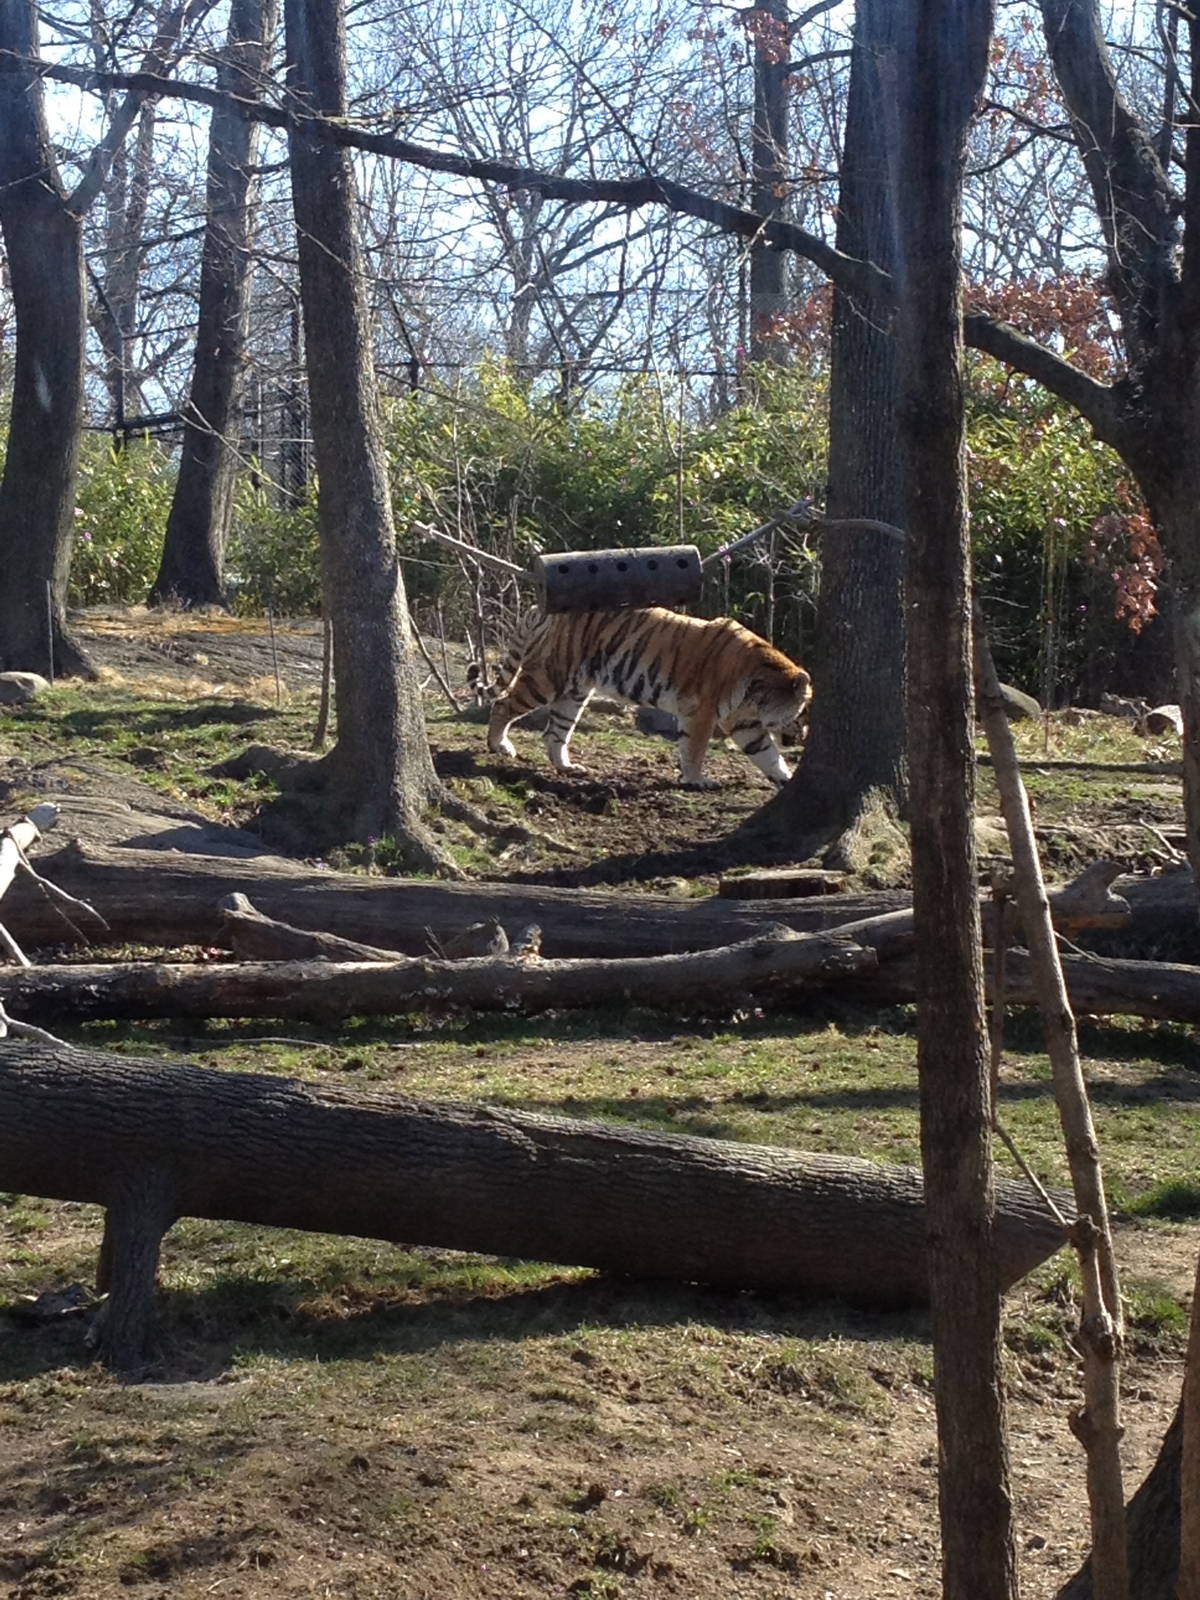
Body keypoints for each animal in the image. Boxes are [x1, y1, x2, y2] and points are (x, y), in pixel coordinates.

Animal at [468, 606, 812, 788]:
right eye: (804, 715)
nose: (807, 737)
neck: (758, 694)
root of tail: (538, 609)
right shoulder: (702, 714)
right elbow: (695, 750)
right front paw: (696, 781)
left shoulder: (745, 723)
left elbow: (766, 753)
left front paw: (786, 778)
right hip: (547, 678)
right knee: (503, 705)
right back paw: (499, 746)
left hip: (574, 692)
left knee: (556, 733)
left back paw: (568, 768)